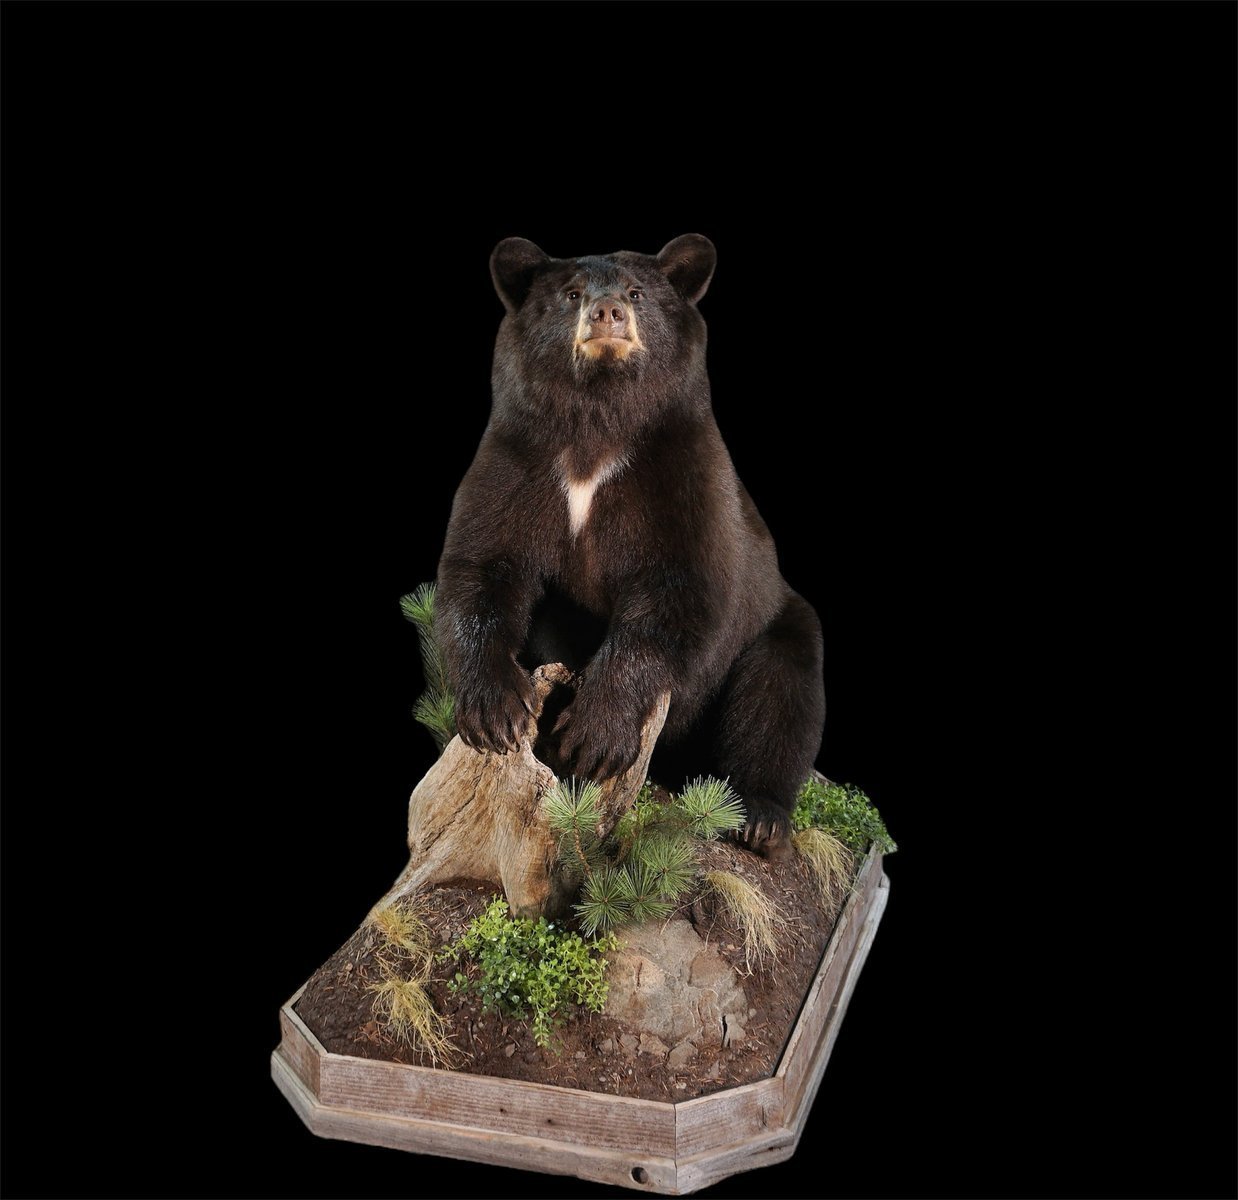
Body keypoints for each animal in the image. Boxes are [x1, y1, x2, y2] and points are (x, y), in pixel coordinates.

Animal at [434, 234, 825, 857]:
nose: (608, 312)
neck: (595, 428)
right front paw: (496, 710)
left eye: (637, 292)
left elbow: (677, 592)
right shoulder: (517, 460)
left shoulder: (682, 473)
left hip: (780, 622)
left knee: (780, 700)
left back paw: (761, 817)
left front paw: (594, 733)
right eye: (572, 293)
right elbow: (483, 567)